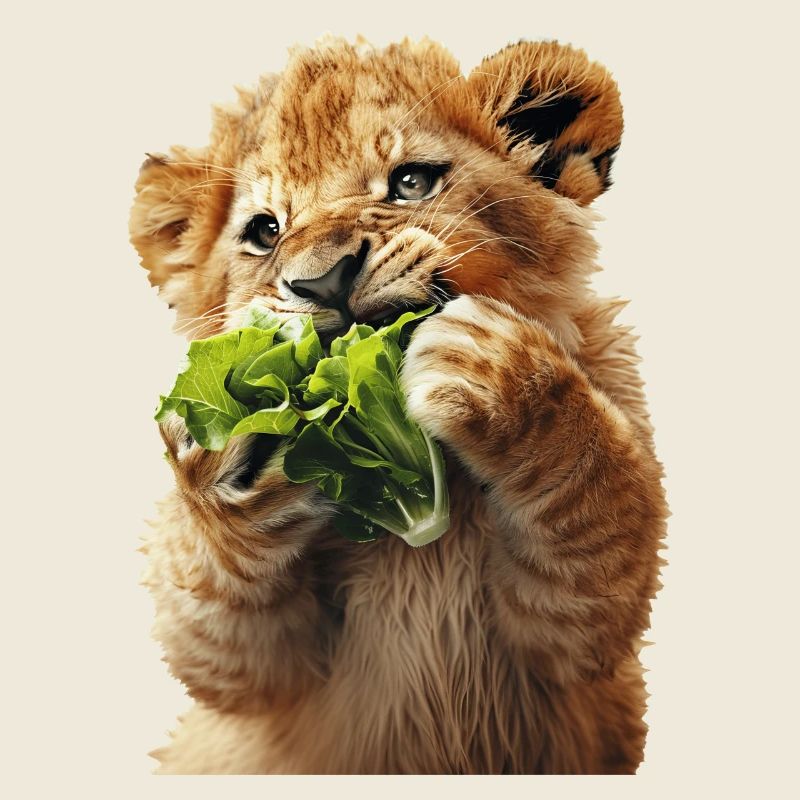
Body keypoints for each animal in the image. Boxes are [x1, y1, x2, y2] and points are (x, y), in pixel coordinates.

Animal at [129, 35, 666, 774]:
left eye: (411, 182)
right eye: (265, 231)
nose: (324, 279)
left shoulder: (573, 637)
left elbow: (595, 503)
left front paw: (500, 371)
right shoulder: (259, 675)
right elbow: (222, 637)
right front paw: (227, 453)